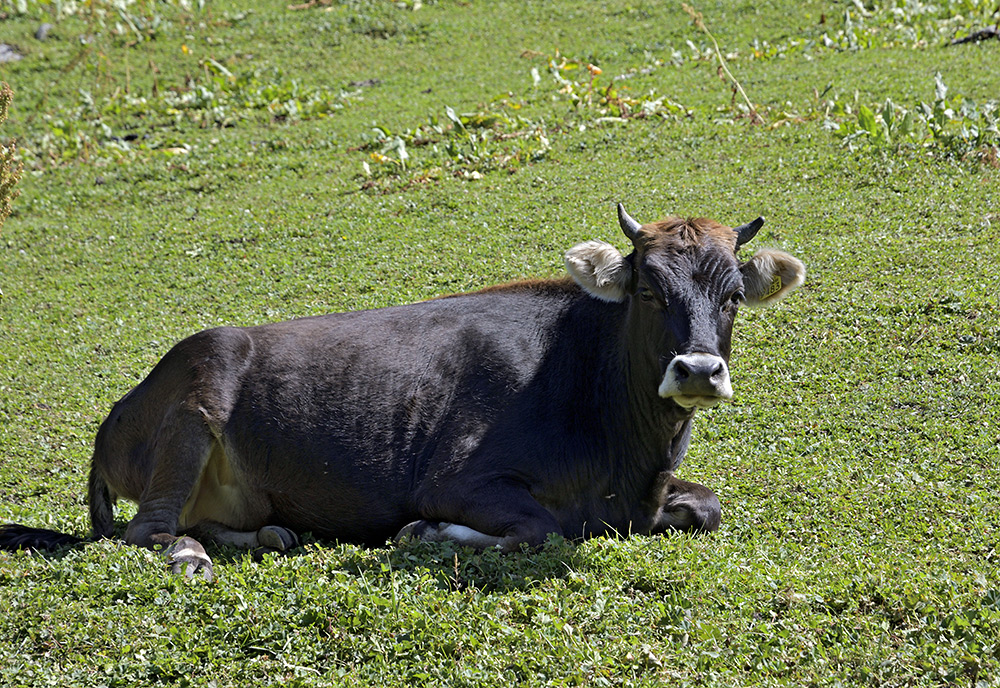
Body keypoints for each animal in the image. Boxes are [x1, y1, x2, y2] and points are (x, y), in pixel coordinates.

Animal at [0, 206, 804, 580]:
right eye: (645, 290)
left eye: (732, 296)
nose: (697, 370)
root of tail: (119, 408)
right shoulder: (457, 478)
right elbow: (539, 527)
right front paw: (429, 534)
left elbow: (707, 506)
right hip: (198, 399)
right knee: (149, 531)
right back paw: (190, 555)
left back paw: (266, 535)